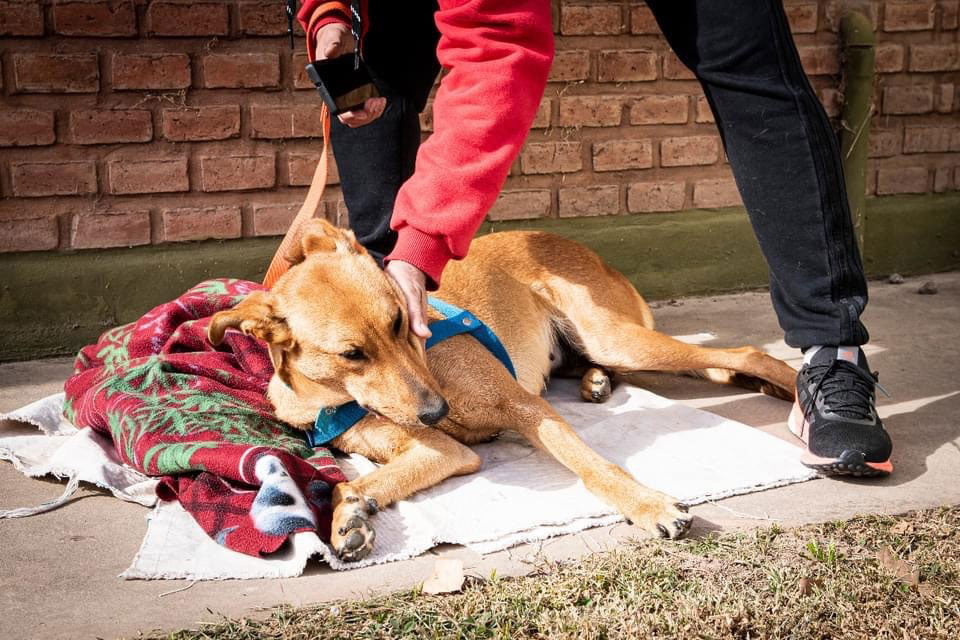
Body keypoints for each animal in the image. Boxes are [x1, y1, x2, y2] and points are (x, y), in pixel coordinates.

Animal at [208, 220, 796, 560]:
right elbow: (347, 484)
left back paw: (791, 390)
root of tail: (584, 249)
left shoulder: (524, 407)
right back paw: (597, 381)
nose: (435, 409)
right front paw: (348, 517)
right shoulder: (443, 450)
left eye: (401, 321)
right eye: (353, 354)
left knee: (744, 354)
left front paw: (647, 506)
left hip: (617, 338)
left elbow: (595, 467)